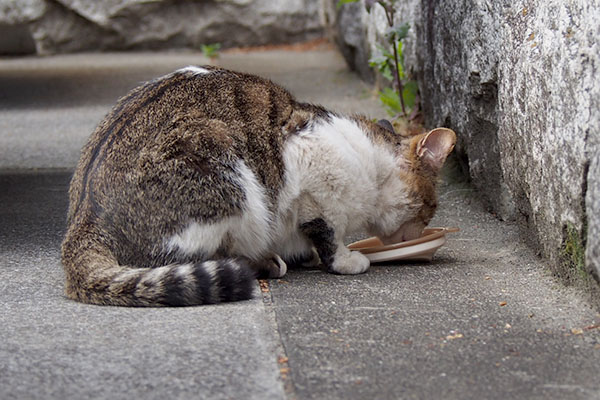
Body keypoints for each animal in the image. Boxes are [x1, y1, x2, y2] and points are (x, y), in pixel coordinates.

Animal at [61, 65, 454, 306]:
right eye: (431, 207)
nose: (424, 229)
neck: (370, 162)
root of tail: (82, 217)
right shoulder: (312, 173)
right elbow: (329, 233)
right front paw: (344, 260)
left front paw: (309, 254)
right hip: (225, 174)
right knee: (192, 257)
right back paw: (265, 263)